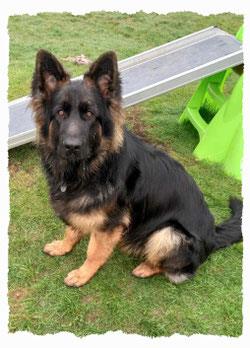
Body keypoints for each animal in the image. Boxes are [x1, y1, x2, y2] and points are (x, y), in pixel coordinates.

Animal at [29, 49, 242, 288]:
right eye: (61, 113)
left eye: (90, 114)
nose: (72, 147)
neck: (94, 167)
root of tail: (213, 235)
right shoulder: (78, 206)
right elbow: (71, 230)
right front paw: (63, 247)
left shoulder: (109, 225)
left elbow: (94, 252)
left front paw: (83, 274)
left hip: (167, 234)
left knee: (173, 269)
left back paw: (146, 268)